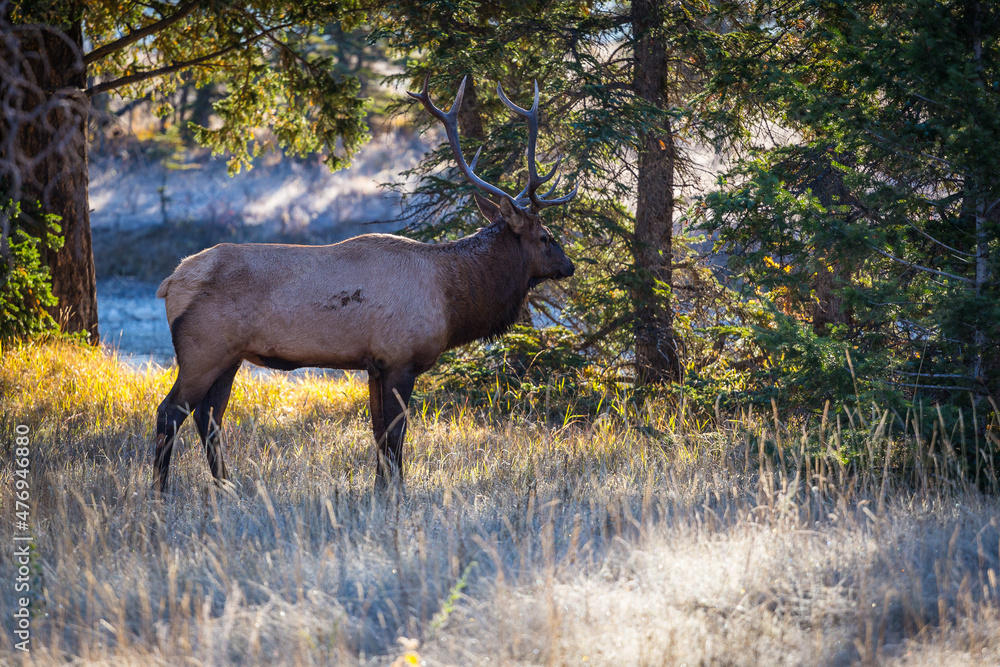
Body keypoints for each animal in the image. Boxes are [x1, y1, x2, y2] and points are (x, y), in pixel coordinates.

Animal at [153, 76, 577, 493]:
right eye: (545, 237)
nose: (569, 266)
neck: (452, 299)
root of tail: (170, 282)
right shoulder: (401, 359)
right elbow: (395, 435)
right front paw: (398, 493)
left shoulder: (375, 365)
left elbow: (378, 434)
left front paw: (379, 489)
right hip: (202, 349)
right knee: (170, 412)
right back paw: (160, 490)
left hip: (230, 356)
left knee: (209, 417)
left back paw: (228, 487)